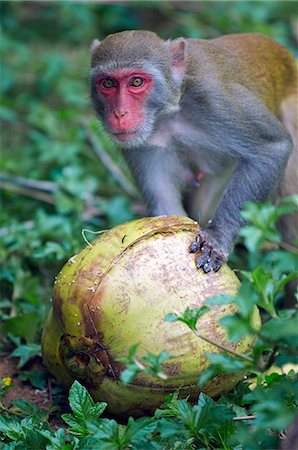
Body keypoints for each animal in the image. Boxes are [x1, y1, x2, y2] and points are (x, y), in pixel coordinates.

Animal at [90, 30, 298, 274]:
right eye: (108, 83)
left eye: (136, 81)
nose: (119, 114)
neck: (169, 112)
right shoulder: (139, 144)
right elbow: (165, 204)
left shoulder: (216, 100)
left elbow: (272, 148)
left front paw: (217, 237)